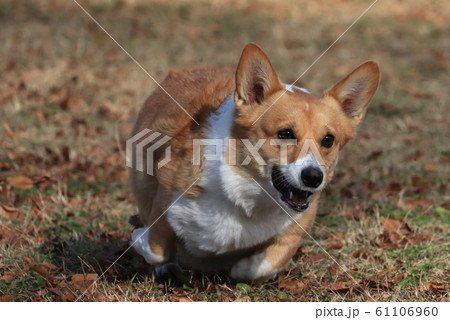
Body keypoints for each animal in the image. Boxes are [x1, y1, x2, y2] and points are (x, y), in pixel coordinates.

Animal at [128, 43, 378, 282]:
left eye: (328, 140)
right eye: (285, 134)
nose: (314, 177)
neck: (249, 194)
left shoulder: (294, 230)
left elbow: (268, 263)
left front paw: (242, 267)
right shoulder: (166, 203)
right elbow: (156, 249)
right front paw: (139, 237)